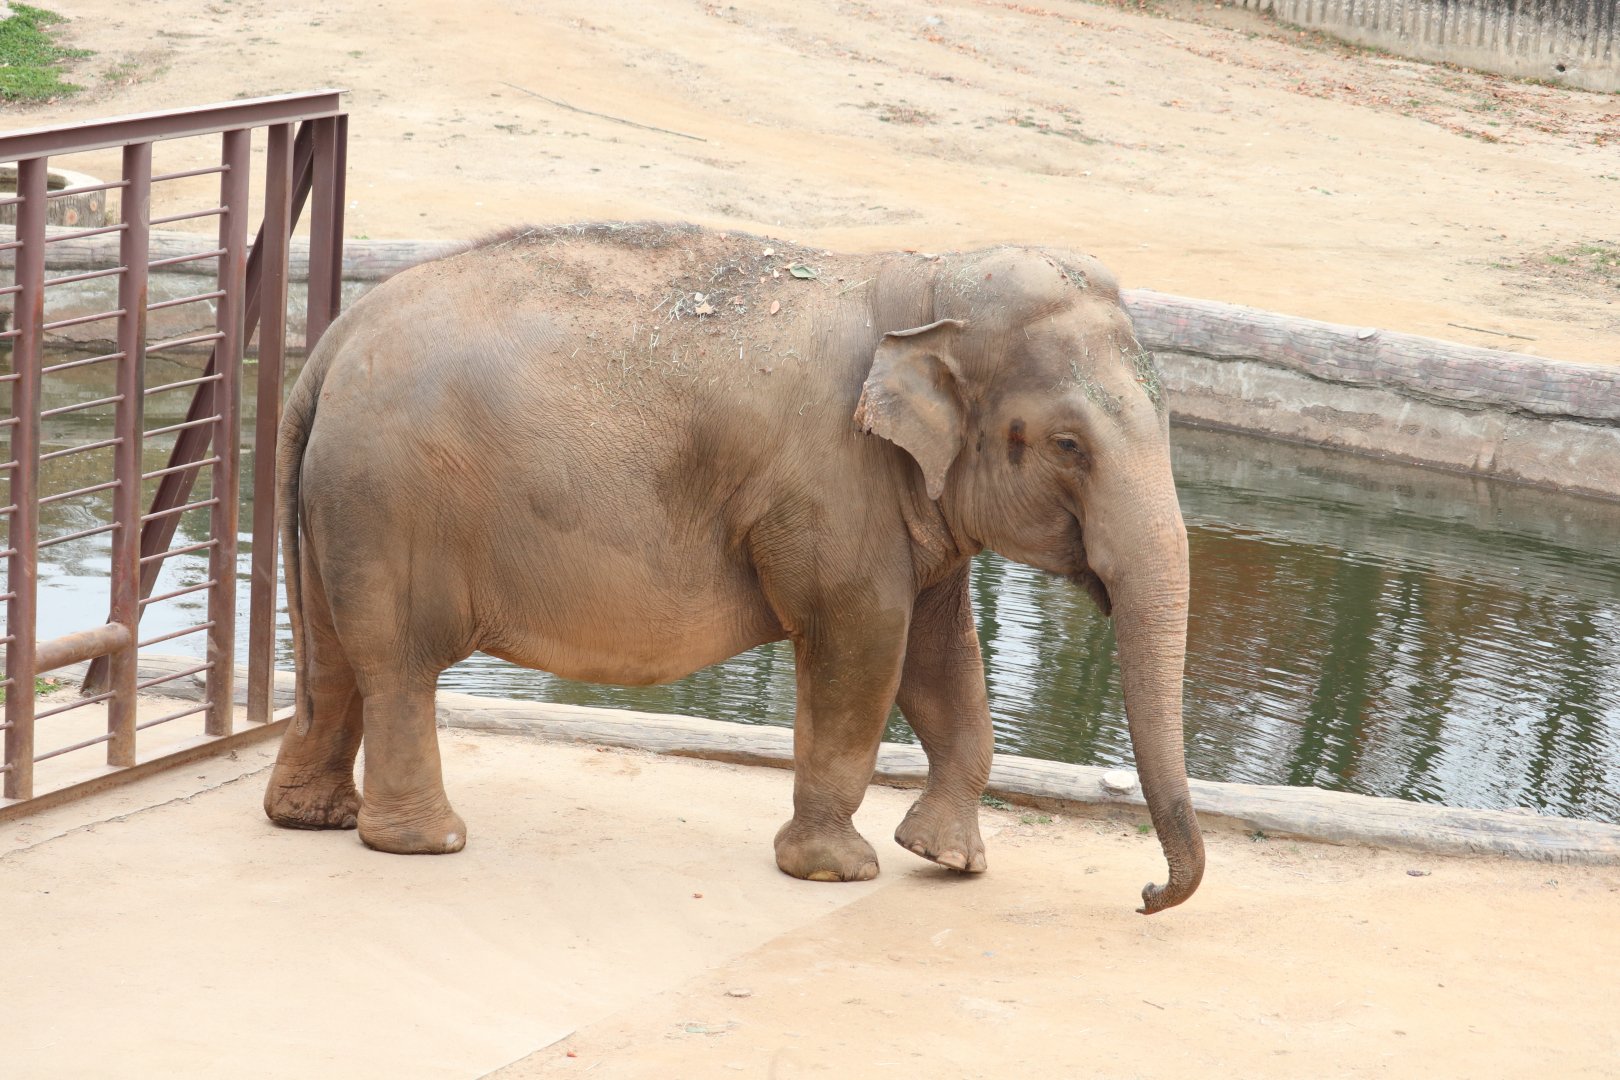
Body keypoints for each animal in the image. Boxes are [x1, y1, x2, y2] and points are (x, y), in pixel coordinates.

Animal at [261, 222, 1204, 914]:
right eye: (1068, 446)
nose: (1146, 893)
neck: (926, 277)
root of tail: (328, 347)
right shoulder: (836, 486)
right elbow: (865, 642)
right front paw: (837, 870)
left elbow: (945, 662)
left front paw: (947, 859)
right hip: (388, 502)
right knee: (396, 667)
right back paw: (426, 842)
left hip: (339, 503)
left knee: (337, 663)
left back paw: (312, 818)